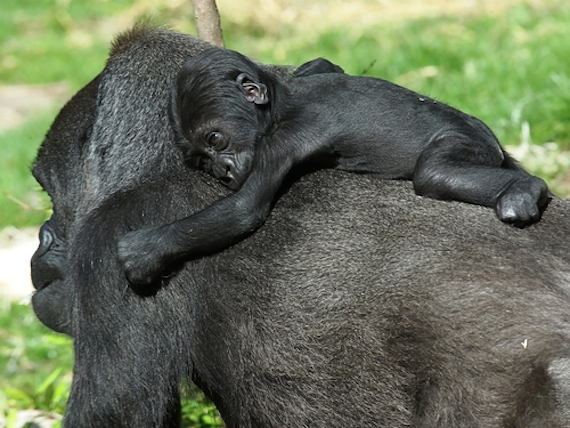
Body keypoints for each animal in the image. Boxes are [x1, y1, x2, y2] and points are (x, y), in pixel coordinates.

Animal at [117, 48, 548, 286]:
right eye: (201, 160)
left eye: (216, 140)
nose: (221, 169)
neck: (280, 102)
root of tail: (492, 140)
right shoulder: (310, 75)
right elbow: (326, 63)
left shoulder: (279, 142)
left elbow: (243, 210)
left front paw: (148, 250)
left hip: (468, 140)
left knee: (434, 173)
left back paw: (526, 190)